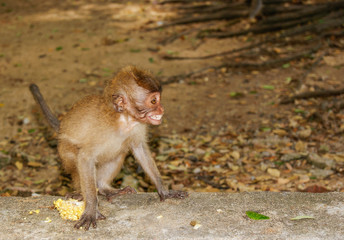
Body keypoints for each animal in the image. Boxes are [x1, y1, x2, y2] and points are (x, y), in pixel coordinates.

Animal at [29, 65, 188, 231]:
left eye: (158, 99)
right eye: (153, 100)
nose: (161, 109)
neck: (124, 120)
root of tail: (60, 130)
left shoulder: (137, 126)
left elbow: (139, 148)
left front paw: (164, 191)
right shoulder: (99, 131)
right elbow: (85, 157)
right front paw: (91, 208)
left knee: (118, 153)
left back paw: (105, 188)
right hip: (64, 151)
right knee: (77, 158)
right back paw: (81, 193)